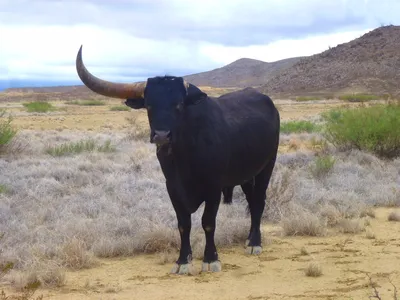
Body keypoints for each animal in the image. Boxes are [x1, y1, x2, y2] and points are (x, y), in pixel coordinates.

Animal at [76, 46, 280, 274]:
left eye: (179, 105)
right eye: (149, 105)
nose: (162, 136)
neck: (185, 157)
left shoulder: (213, 187)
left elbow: (208, 222)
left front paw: (210, 259)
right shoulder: (173, 188)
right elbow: (184, 224)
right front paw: (183, 260)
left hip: (266, 167)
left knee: (258, 202)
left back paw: (254, 243)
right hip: (246, 175)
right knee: (252, 201)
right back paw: (249, 238)